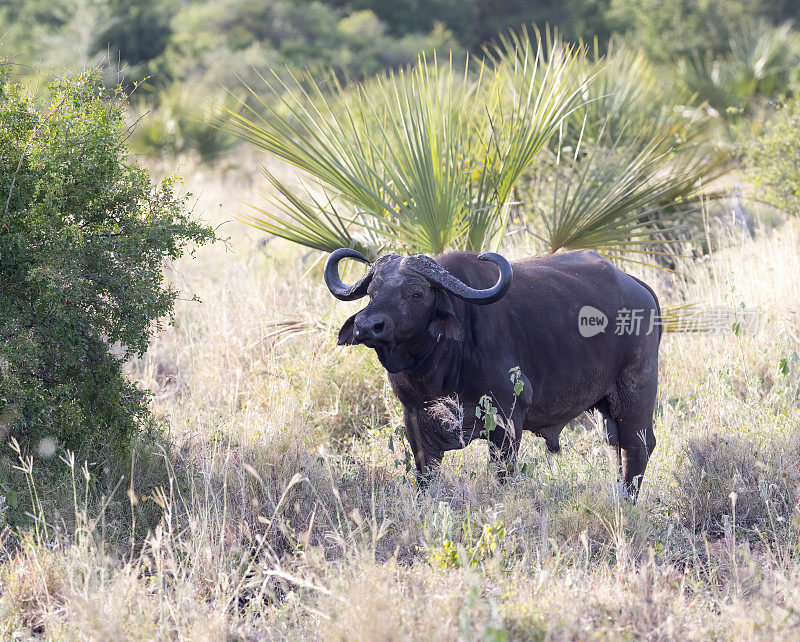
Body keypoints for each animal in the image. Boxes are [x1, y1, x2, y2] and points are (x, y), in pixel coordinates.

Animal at [322, 245, 660, 496]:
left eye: (416, 293)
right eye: (372, 291)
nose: (368, 326)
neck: (440, 366)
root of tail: (639, 287)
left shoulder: (507, 419)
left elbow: (502, 474)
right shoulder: (415, 418)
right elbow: (425, 475)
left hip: (636, 394)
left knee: (637, 447)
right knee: (617, 446)